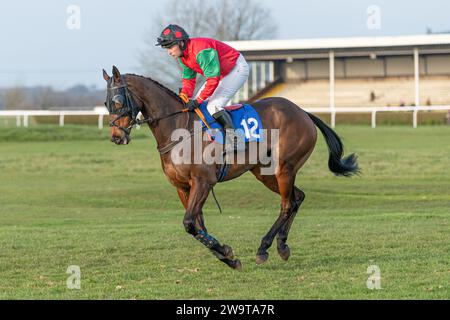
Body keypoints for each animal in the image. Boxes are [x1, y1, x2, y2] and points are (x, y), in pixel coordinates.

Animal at [102, 65, 358, 270]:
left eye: (118, 101)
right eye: (105, 103)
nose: (116, 137)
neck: (178, 130)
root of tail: (302, 111)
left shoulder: (204, 182)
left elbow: (189, 223)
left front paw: (226, 253)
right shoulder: (183, 187)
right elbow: (198, 225)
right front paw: (226, 255)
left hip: (285, 167)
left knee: (287, 204)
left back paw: (264, 248)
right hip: (264, 172)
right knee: (297, 198)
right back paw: (282, 245)